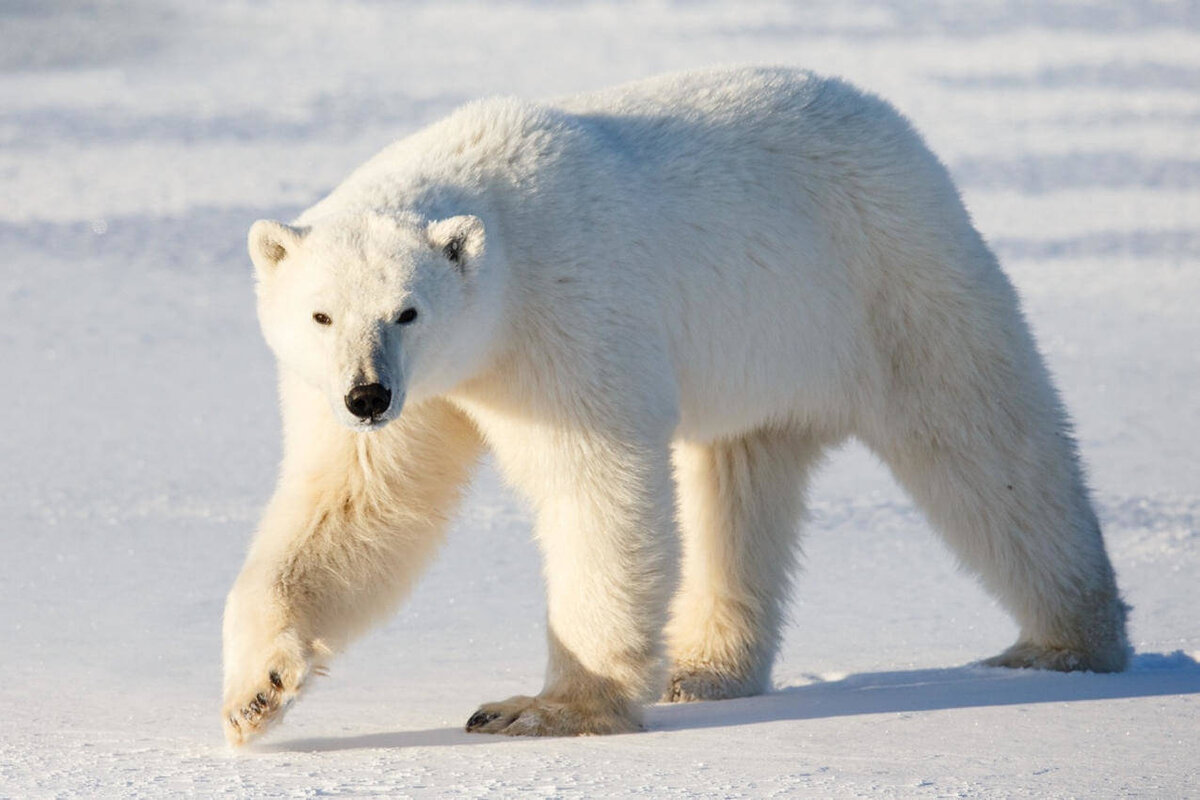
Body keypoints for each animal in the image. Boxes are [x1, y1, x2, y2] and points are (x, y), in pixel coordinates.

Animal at [220, 67, 1128, 743]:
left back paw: (1066, 641)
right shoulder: (416, 392)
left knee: (985, 442)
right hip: (764, 358)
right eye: (321, 314)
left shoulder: (567, 317)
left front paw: (543, 708)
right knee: (739, 484)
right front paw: (256, 693)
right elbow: (355, 506)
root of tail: (889, 120)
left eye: (408, 310)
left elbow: (595, 489)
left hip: (889, 276)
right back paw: (706, 668)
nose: (367, 394)